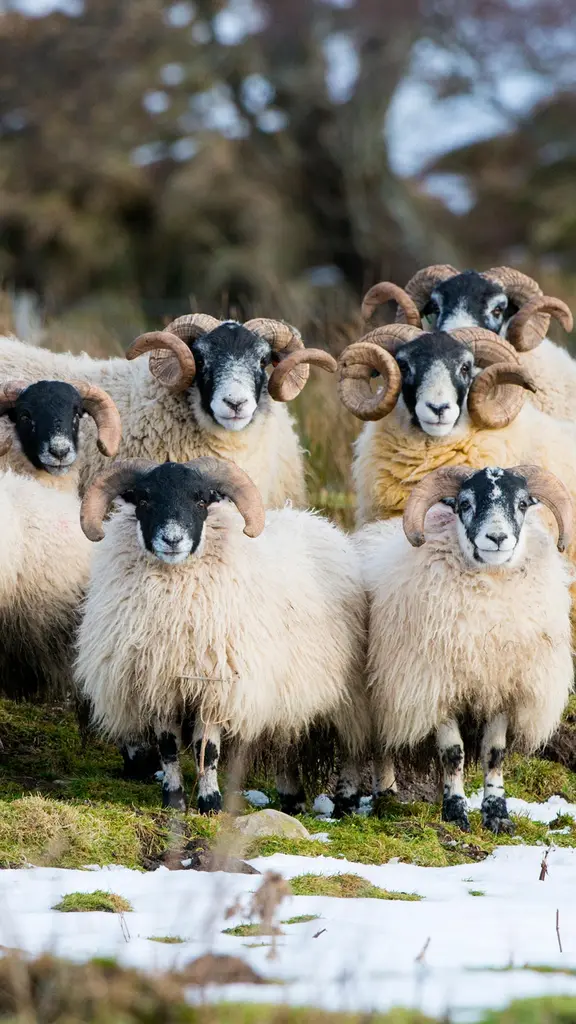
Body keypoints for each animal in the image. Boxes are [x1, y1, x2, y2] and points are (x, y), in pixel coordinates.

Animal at [75, 457, 370, 815]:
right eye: (143, 500)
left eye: (201, 500)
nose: (172, 540)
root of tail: (316, 521)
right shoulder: (159, 685)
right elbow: (168, 748)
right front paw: (174, 801)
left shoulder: (216, 686)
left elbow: (208, 748)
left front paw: (210, 803)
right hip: (287, 690)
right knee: (286, 740)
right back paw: (292, 799)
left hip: (349, 692)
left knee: (353, 745)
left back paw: (346, 802)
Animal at [357, 464, 574, 834]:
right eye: (465, 504)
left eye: (522, 504)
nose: (497, 538)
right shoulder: (437, 687)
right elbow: (452, 753)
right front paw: (456, 812)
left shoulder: (503, 688)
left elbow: (494, 752)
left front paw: (497, 814)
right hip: (380, 695)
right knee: (380, 747)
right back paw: (385, 796)